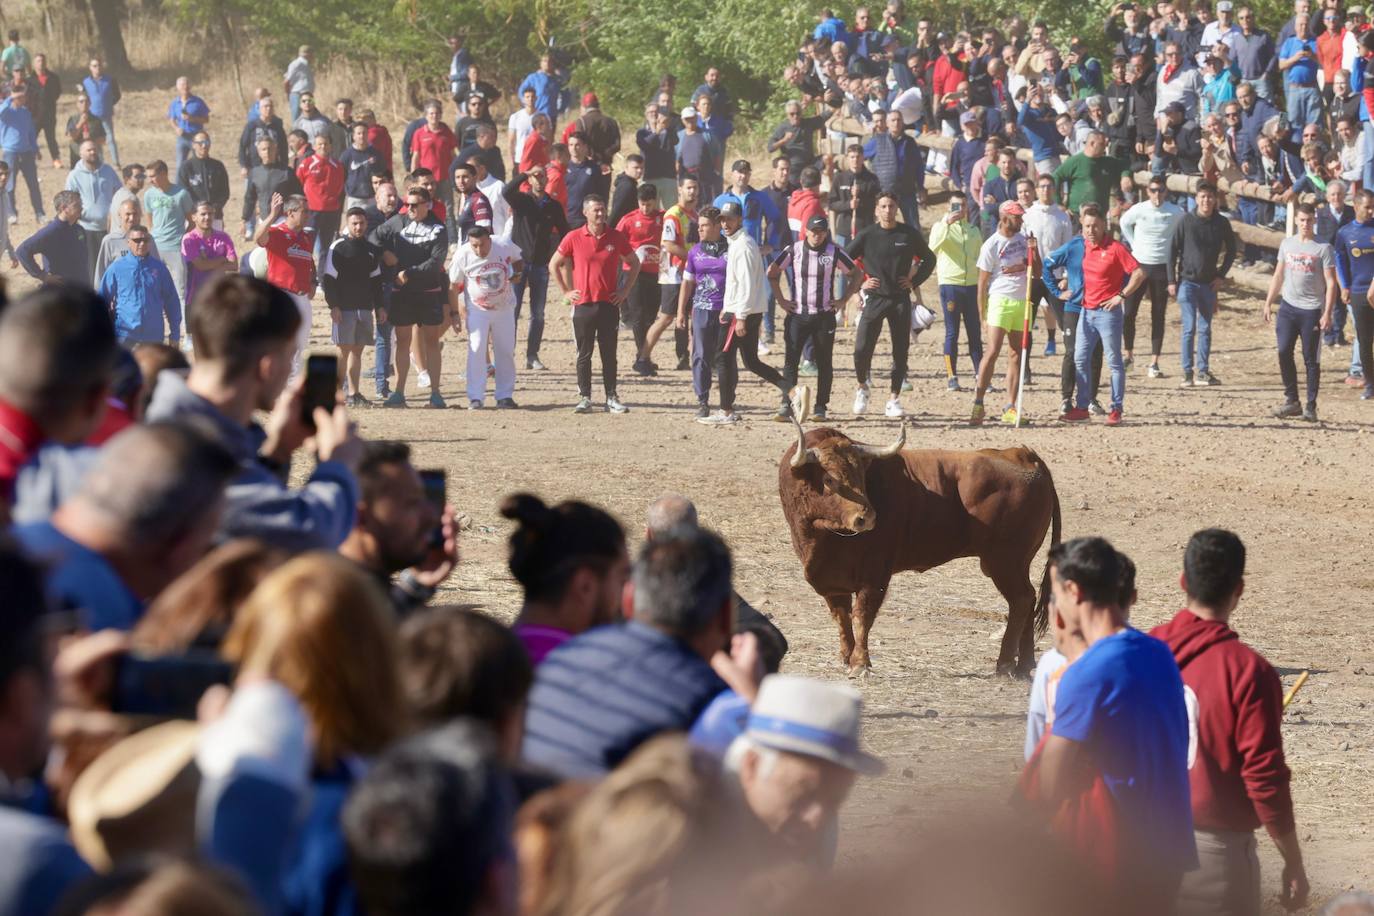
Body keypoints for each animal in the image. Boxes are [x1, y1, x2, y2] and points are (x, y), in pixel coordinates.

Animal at [780, 420, 1055, 678]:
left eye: (862, 476)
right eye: (829, 479)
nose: (866, 518)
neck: (823, 535)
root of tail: (1023, 455)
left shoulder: (875, 575)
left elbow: (861, 616)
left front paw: (861, 663)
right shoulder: (831, 580)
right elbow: (841, 617)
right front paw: (847, 658)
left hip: (1003, 561)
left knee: (1021, 599)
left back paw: (1005, 664)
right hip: (1018, 563)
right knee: (1029, 597)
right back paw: (1024, 665)